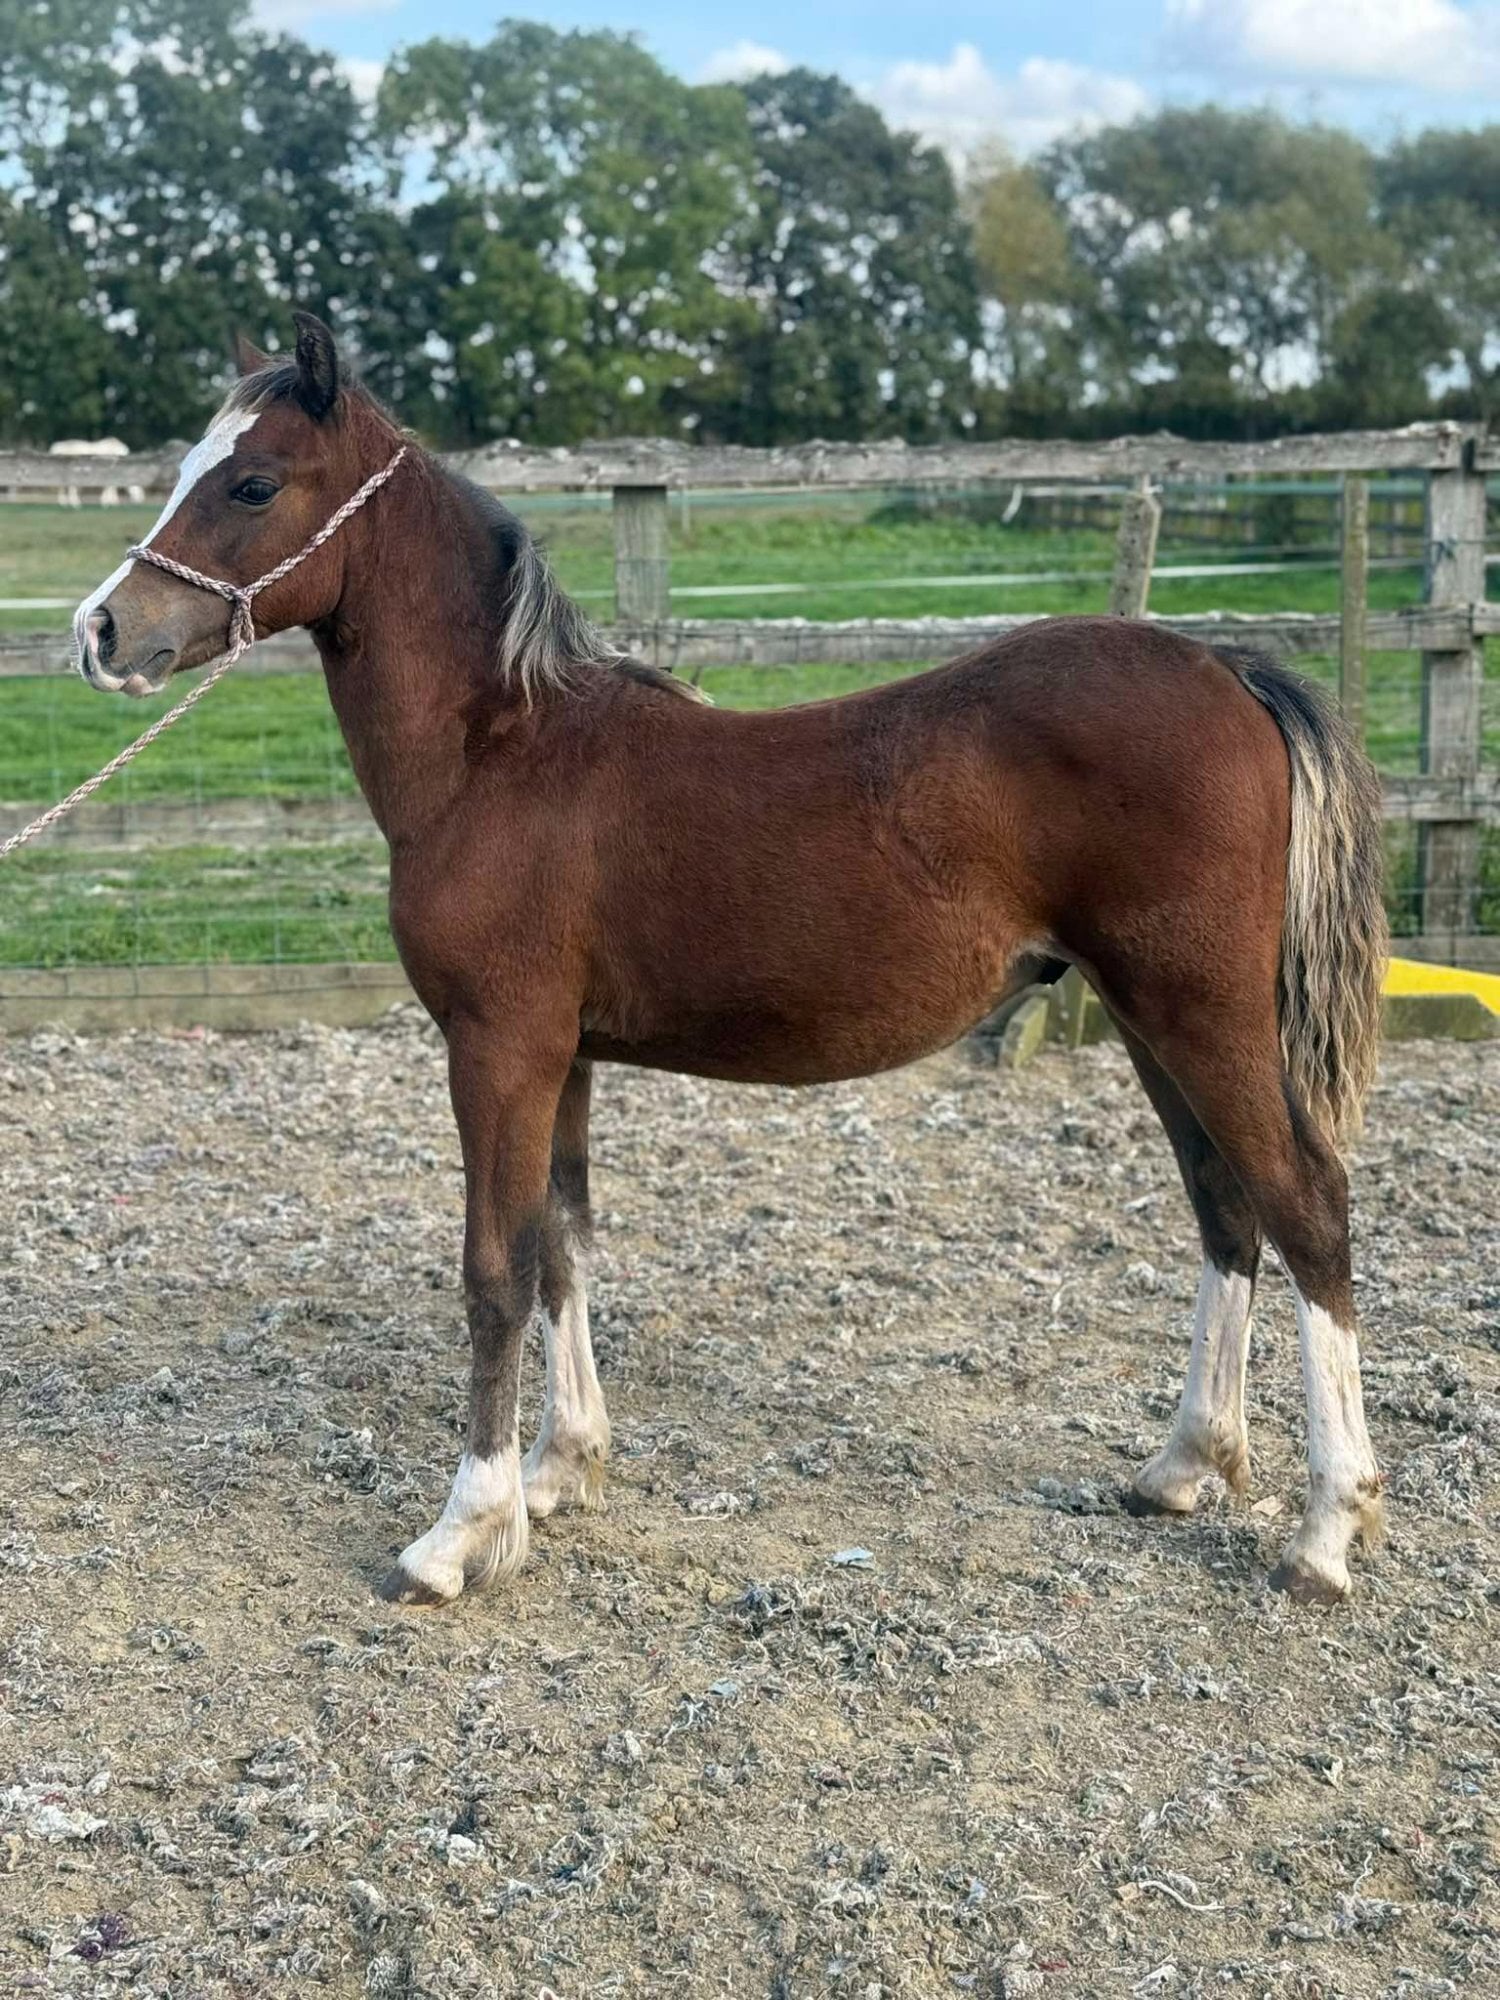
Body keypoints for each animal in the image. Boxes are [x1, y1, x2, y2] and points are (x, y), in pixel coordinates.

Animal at [74, 313, 1388, 1609]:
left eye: (251, 481)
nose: (101, 631)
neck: (502, 752)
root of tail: (1227, 667)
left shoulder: (498, 1048)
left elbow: (496, 1269)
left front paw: (461, 1532)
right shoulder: (565, 1056)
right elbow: (564, 1248)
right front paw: (561, 1471)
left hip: (1198, 1011)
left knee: (1307, 1203)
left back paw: (1326, 1531)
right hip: (1147, 1015)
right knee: (1225, 1206)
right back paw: (1185, 1465)